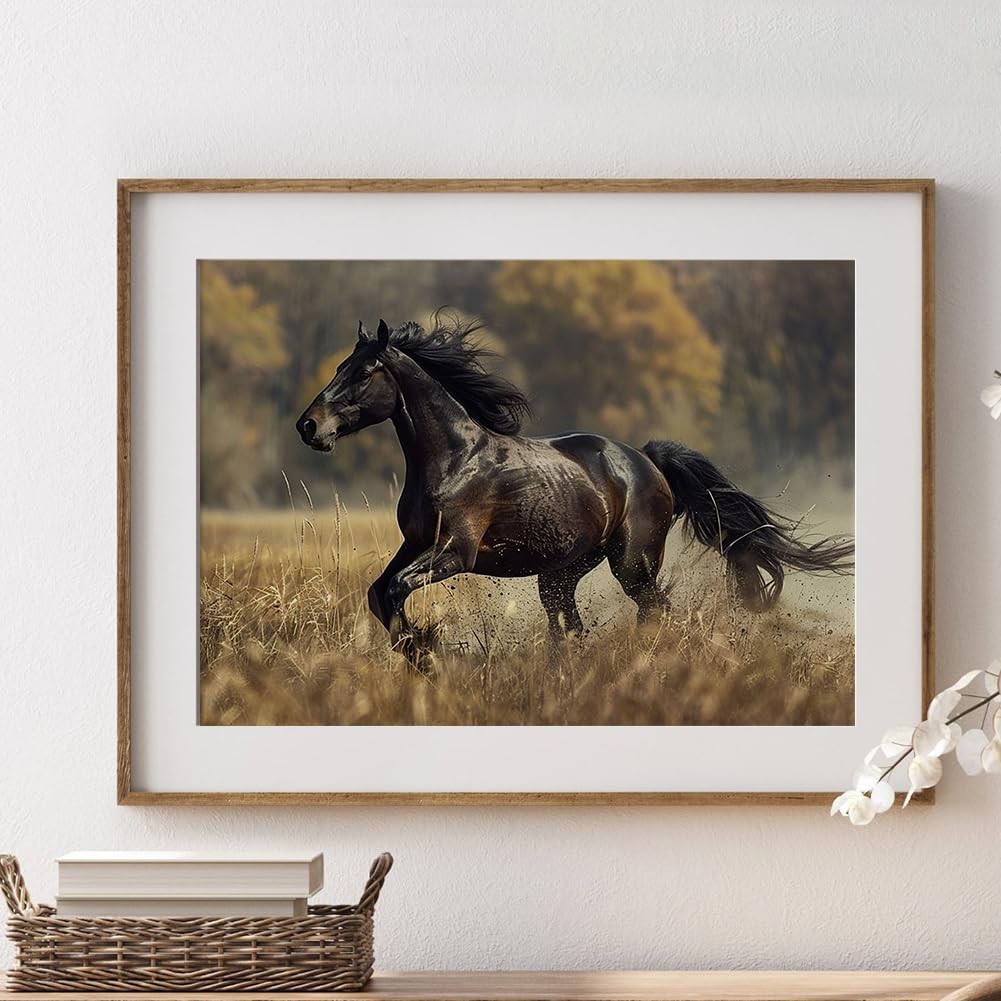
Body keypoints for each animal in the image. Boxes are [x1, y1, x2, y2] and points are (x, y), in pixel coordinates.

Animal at [296, 314, 854, 668]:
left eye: (363, 372)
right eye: (340, 367)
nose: (308, 426)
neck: (454, 459)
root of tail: (647, 461)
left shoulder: (454, 552)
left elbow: (393, 590)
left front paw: (431, 653)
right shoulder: (414, 545)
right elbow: (379, 592)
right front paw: (422, 653)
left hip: (632, 563)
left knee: (654, 610)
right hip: (561, 572)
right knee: (571, 626)